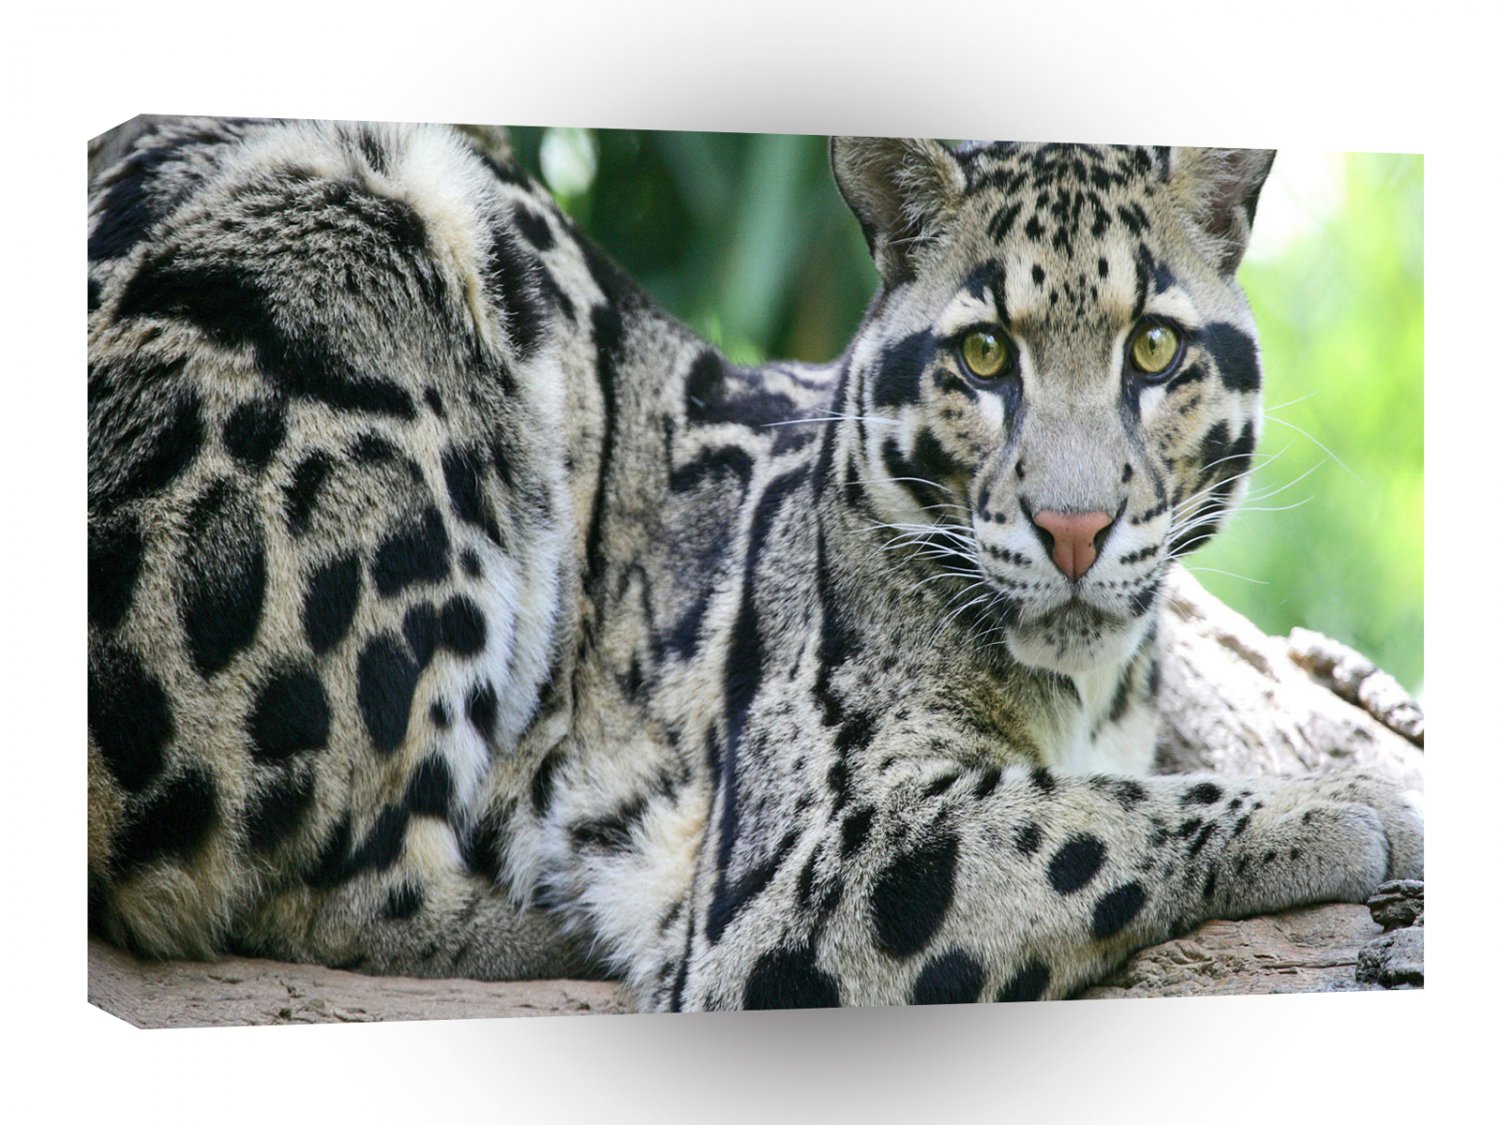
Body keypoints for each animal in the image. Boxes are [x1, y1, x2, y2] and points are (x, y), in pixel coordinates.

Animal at [87, 115, 1423, 1011]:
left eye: (1154, 347)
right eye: (985, 354)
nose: (1076, 527)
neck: (1084, 684)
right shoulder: (802, 866)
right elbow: (1082, 817)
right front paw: (1350, 803)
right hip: (368, 237)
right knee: (279, 876)